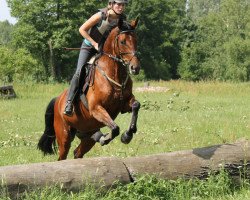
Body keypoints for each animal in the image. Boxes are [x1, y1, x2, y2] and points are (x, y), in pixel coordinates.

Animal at [38, 18, 142, 160]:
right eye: (122, 42)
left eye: (136, 40)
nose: (135, 68)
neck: (114, 73)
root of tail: (57, 100)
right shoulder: (96, 108)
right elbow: (115, 128)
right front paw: (107, 138)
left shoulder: (124, 105)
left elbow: (136, 105)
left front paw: (127, 135)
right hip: (64, 135)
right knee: (62, 156)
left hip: (87, 133)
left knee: (78, 153)